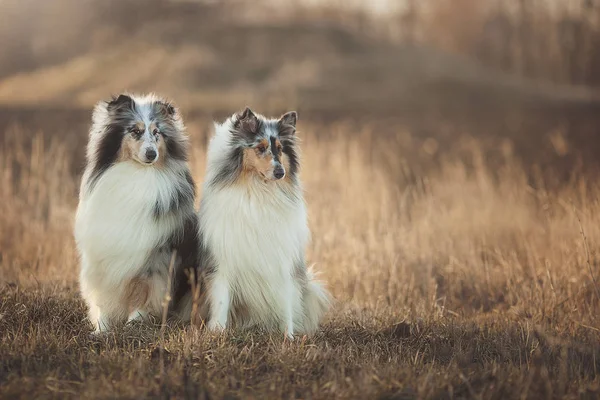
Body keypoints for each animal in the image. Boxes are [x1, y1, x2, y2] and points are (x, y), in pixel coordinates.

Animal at [74, 94, 198, 334]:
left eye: (157, 132)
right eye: (135, 131)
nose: (151, 154)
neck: (138, 175)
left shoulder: (154, 258)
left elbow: (143, 291)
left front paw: (135, 323)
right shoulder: (103, 258)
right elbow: (104, 299)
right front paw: (101, 330)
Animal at [198, 106, 330, 338]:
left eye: (280, 149)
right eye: (260, 148)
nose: (280, 172)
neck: (258, 190)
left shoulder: (281, 258)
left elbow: (285, 302)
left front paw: (288, 336)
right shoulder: (223, 257)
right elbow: (221, 300)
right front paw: (217, 332)